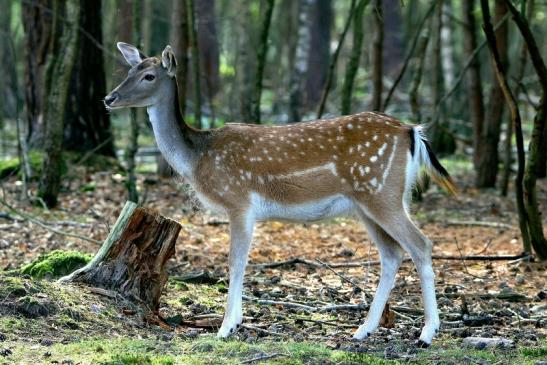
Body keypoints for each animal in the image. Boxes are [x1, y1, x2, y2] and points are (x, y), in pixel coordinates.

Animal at [105, 43, 456, 346]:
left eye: (149, 76)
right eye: (130, 69)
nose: (109, 98)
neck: (198, 158)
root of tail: (412, 131)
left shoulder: (239, 200)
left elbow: (235, 262)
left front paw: (226, 327)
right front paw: (234, 322)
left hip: (381, 192)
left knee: (421, 244)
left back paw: (426, 334)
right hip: (370, 202)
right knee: (392, 253)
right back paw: (363, 330)